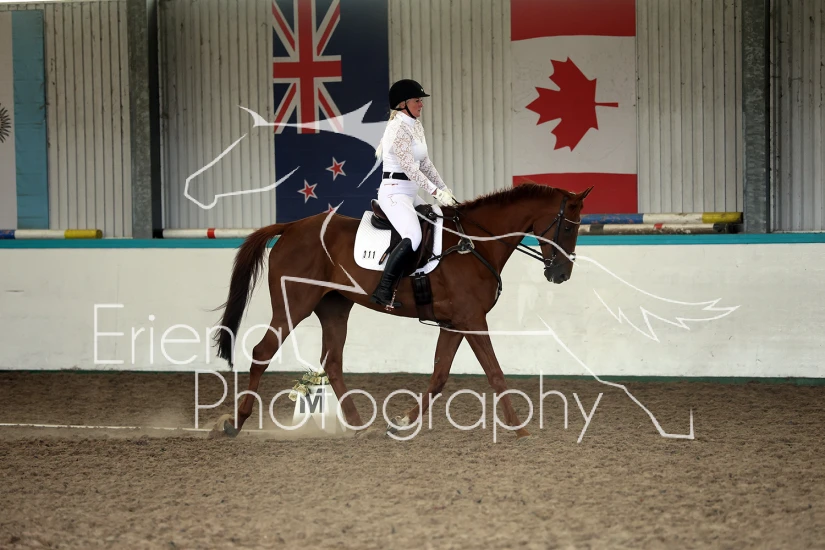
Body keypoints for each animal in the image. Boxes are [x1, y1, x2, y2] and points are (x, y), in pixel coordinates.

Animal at [210, 182, 593, 439]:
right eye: (566, 226)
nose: (561, 274)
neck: (474, 244)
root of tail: (290, 227)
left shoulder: (455, 323)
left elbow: (439, 377)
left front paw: (401, 424)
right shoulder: (472, 319)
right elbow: (495, 374)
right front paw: (521, 430)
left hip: (335, 308)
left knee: (332, 363)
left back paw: (359, 426)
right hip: (295, 305)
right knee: (263, 352)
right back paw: (236, 422)